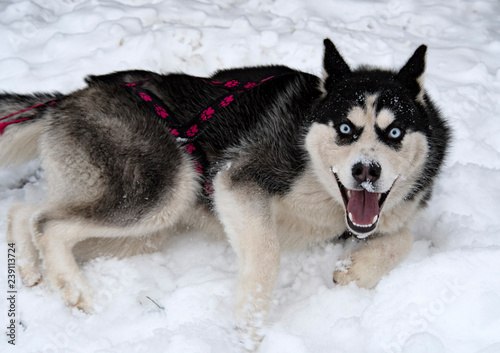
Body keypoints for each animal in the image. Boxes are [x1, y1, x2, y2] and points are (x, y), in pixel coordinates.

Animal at [0, 40, 450, 348]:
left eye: (394, 132)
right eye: (345, 129)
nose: (366, 170)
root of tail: (69, 97)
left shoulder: (376, 217)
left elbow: (405, 236)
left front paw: (359, 269)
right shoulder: (236, 179)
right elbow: (266, 254)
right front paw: (249, 329)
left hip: (145, 229)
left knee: (25, 212)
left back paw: (31, 268)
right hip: (164, 189)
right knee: (48, 222)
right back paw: (75, 292)